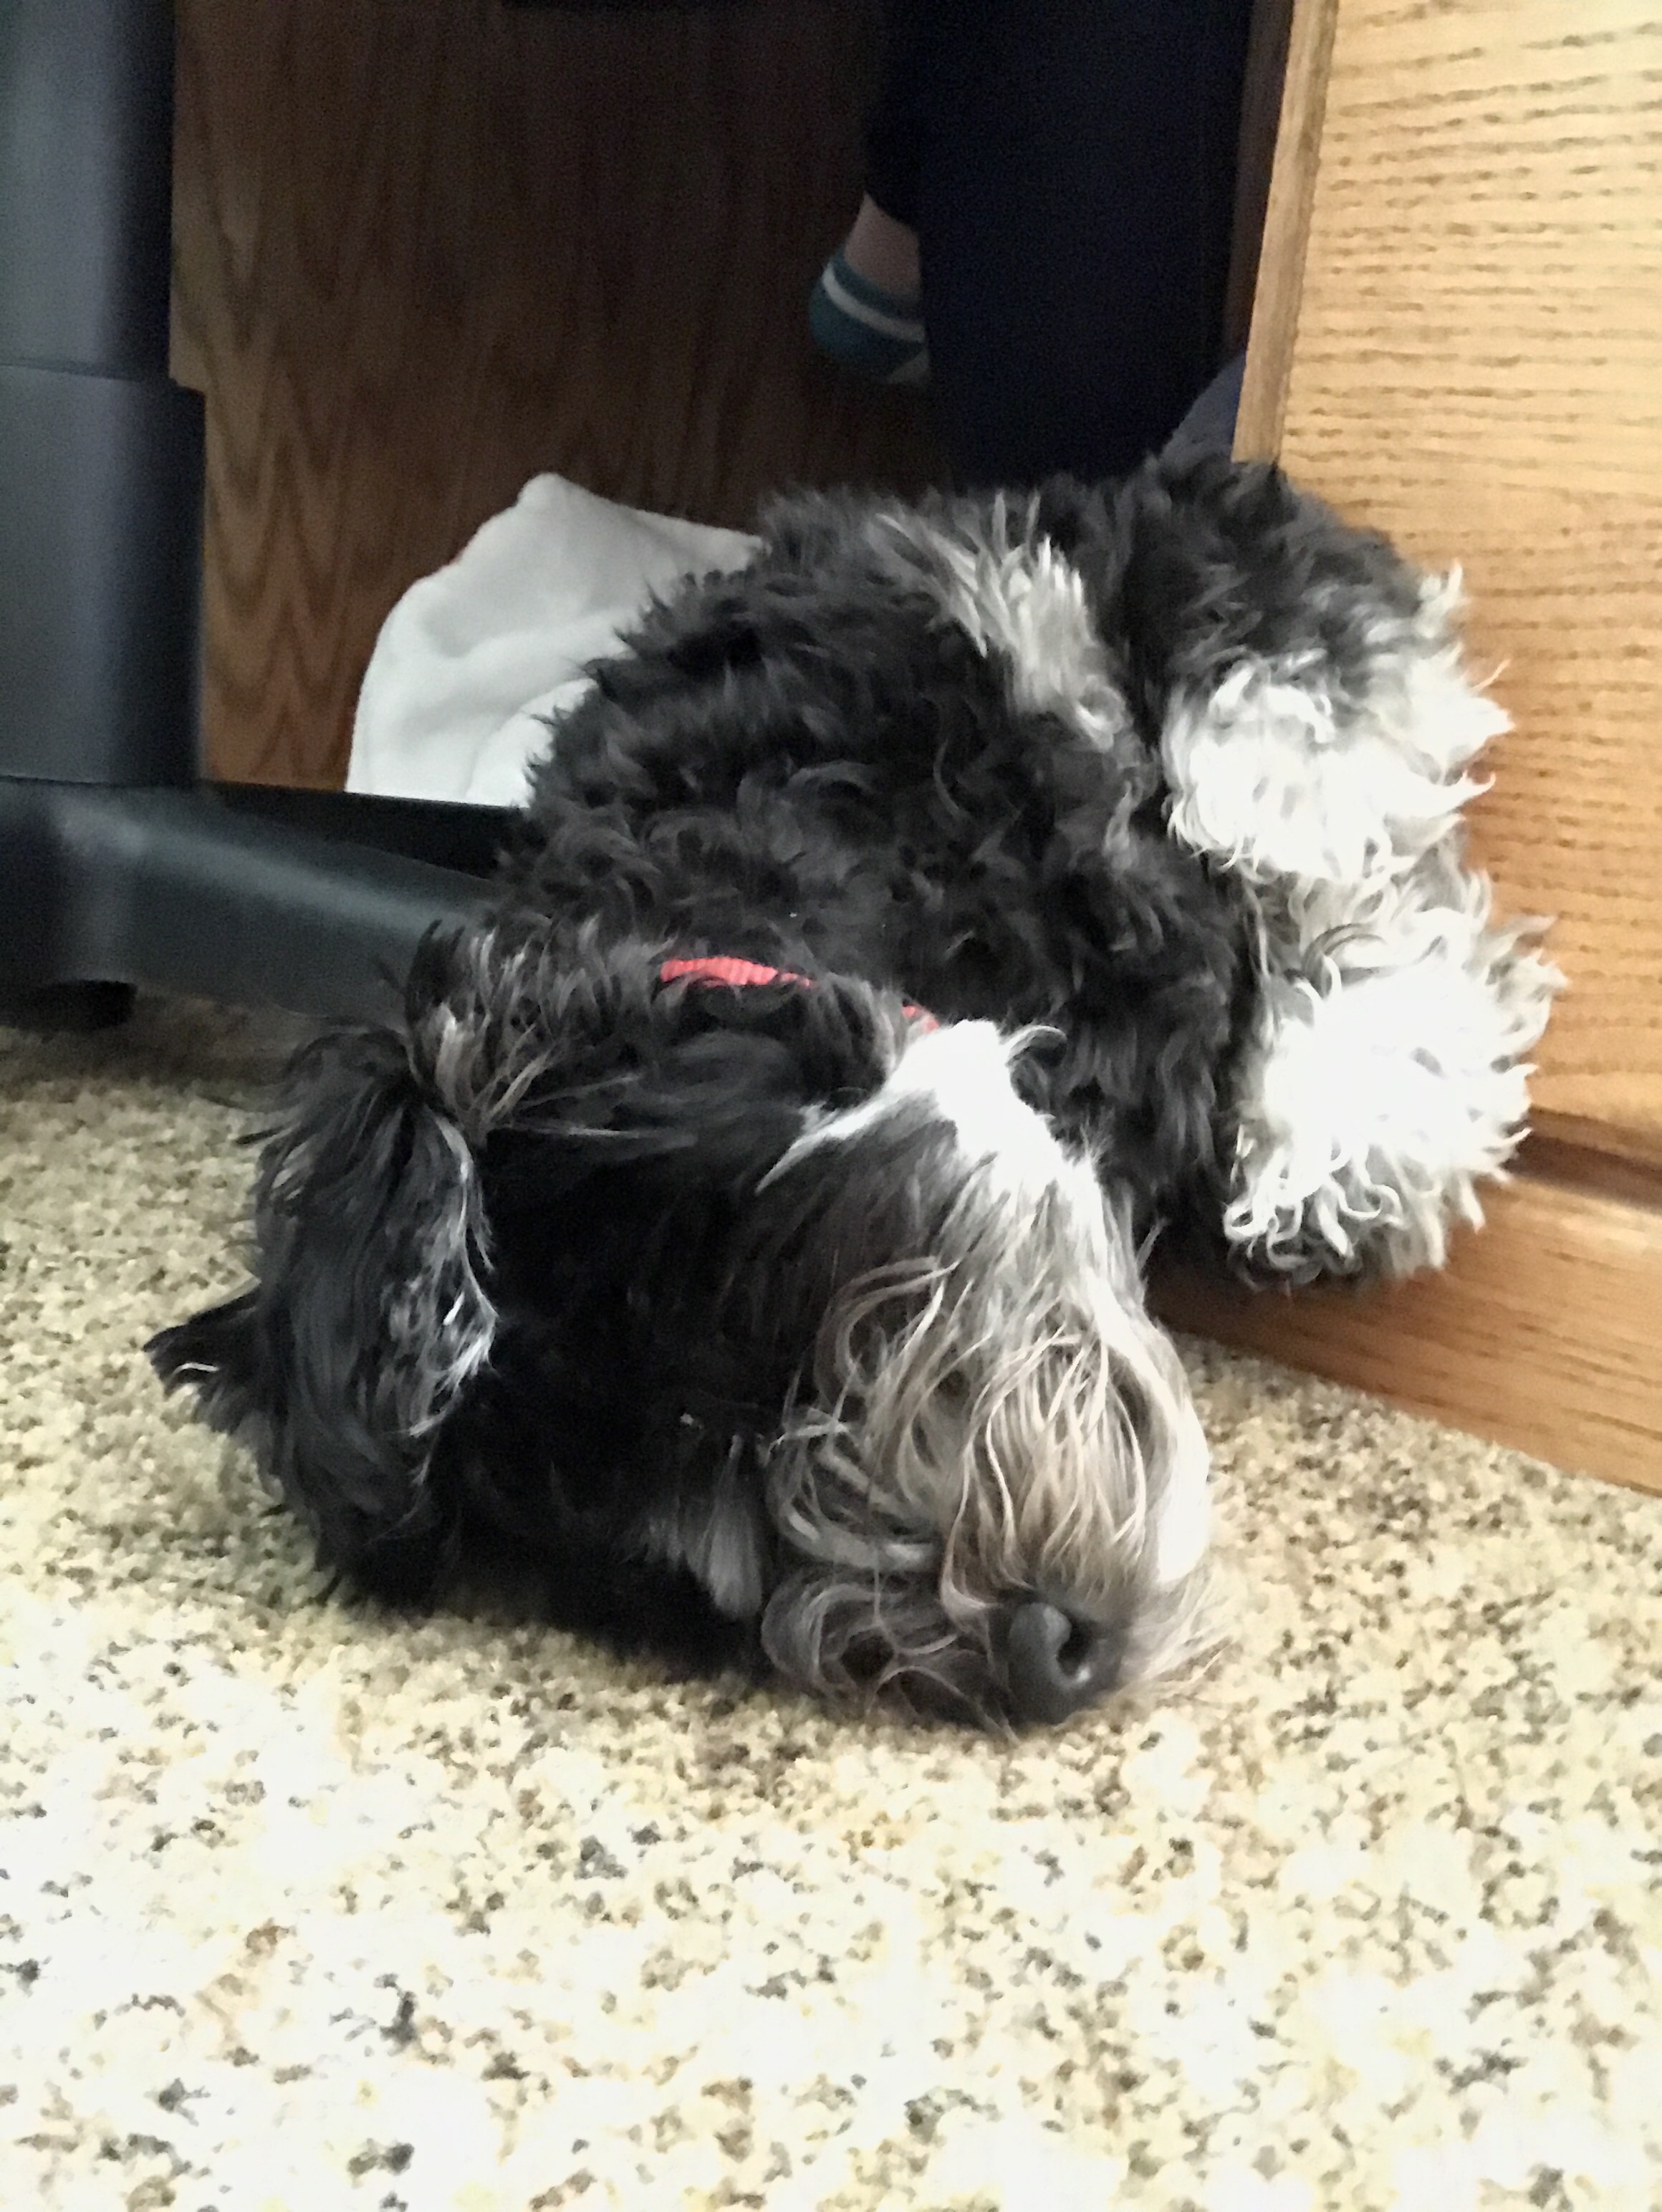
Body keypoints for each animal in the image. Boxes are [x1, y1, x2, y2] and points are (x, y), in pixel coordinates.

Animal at [150, 452, 1557, 1728]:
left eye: (754, 1314)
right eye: (670, 1568)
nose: (1046, 1653)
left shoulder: (1131, 577)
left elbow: (1287, 765)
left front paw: (1357, 1126)